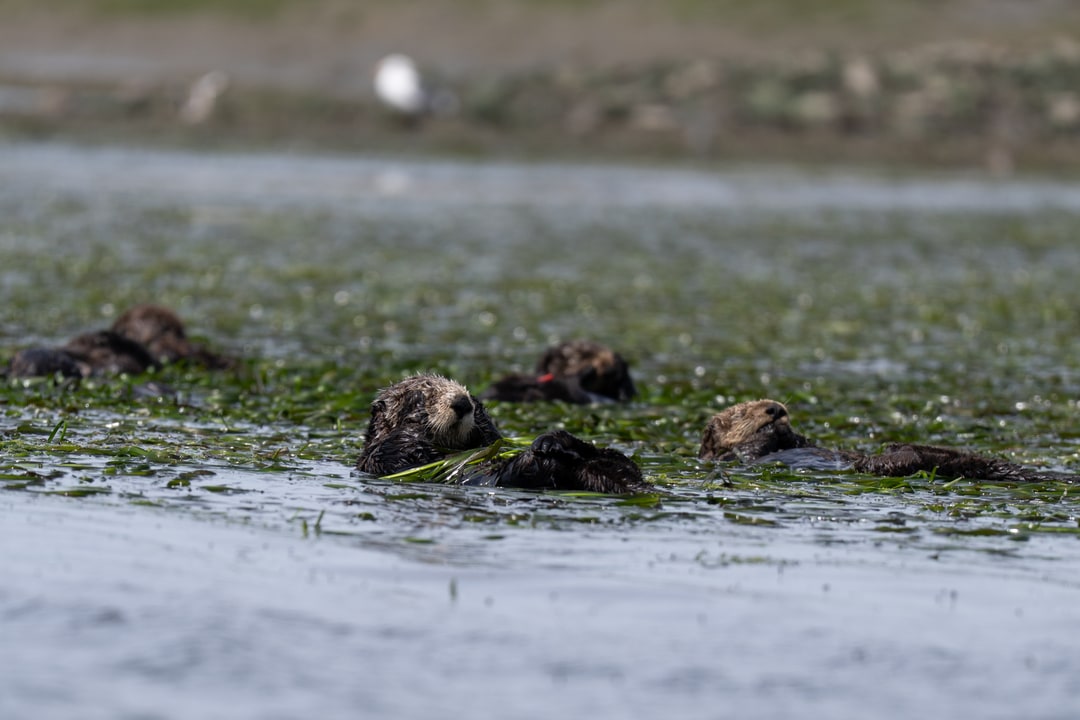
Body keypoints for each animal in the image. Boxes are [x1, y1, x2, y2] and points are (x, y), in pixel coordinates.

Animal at [357, 373, 651, 493]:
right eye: (427, 394)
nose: (462, 402)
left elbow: (492, 438)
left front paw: (478, 407)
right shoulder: (379, 458)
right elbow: (405, 447)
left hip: (612, 462)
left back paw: (552, 441)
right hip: (519, 475)